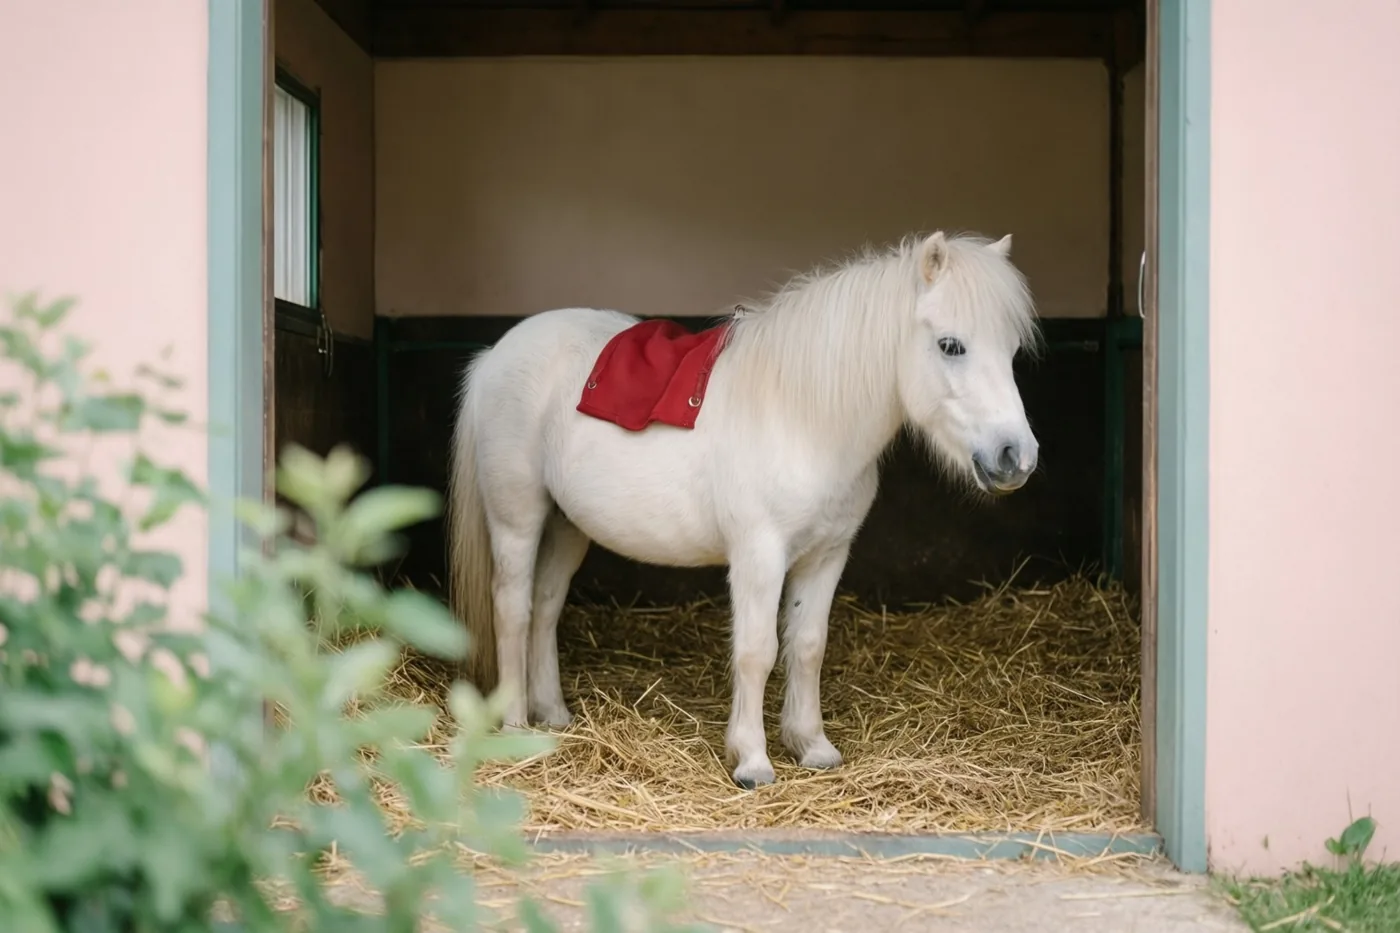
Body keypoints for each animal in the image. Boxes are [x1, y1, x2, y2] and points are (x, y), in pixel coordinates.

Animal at [446, 230, 1042, 788]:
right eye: (951, 345)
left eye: (1012, 349)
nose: (1016, 457)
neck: (801, 417)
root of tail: (496, 355)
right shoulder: (760, 555)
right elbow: (757, 650)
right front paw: (752, 760)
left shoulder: (827, 555)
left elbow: (807, 645)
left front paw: (812, 746)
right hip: (518, 518)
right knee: (514, 608)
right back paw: (516, 726)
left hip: (568, 524)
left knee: (546, 605)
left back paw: (553, 714)